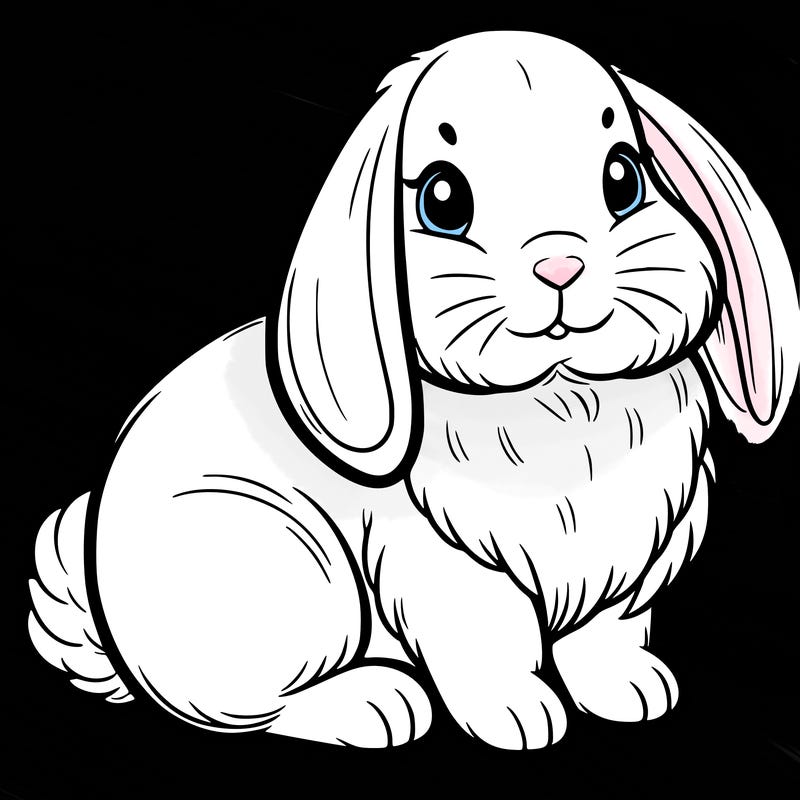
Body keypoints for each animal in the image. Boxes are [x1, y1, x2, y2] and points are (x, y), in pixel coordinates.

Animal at [29, 30, 799, 750]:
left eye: (623, 179)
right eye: (442, 199)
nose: (560, 265)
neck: (561, 401)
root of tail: (107, 611)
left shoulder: (635, 565)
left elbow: (604, 635)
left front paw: (634, 692)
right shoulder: (449, 570)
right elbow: (490, 644)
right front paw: (519, 719)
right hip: (298, 579)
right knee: (248, 708)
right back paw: (377, 706)